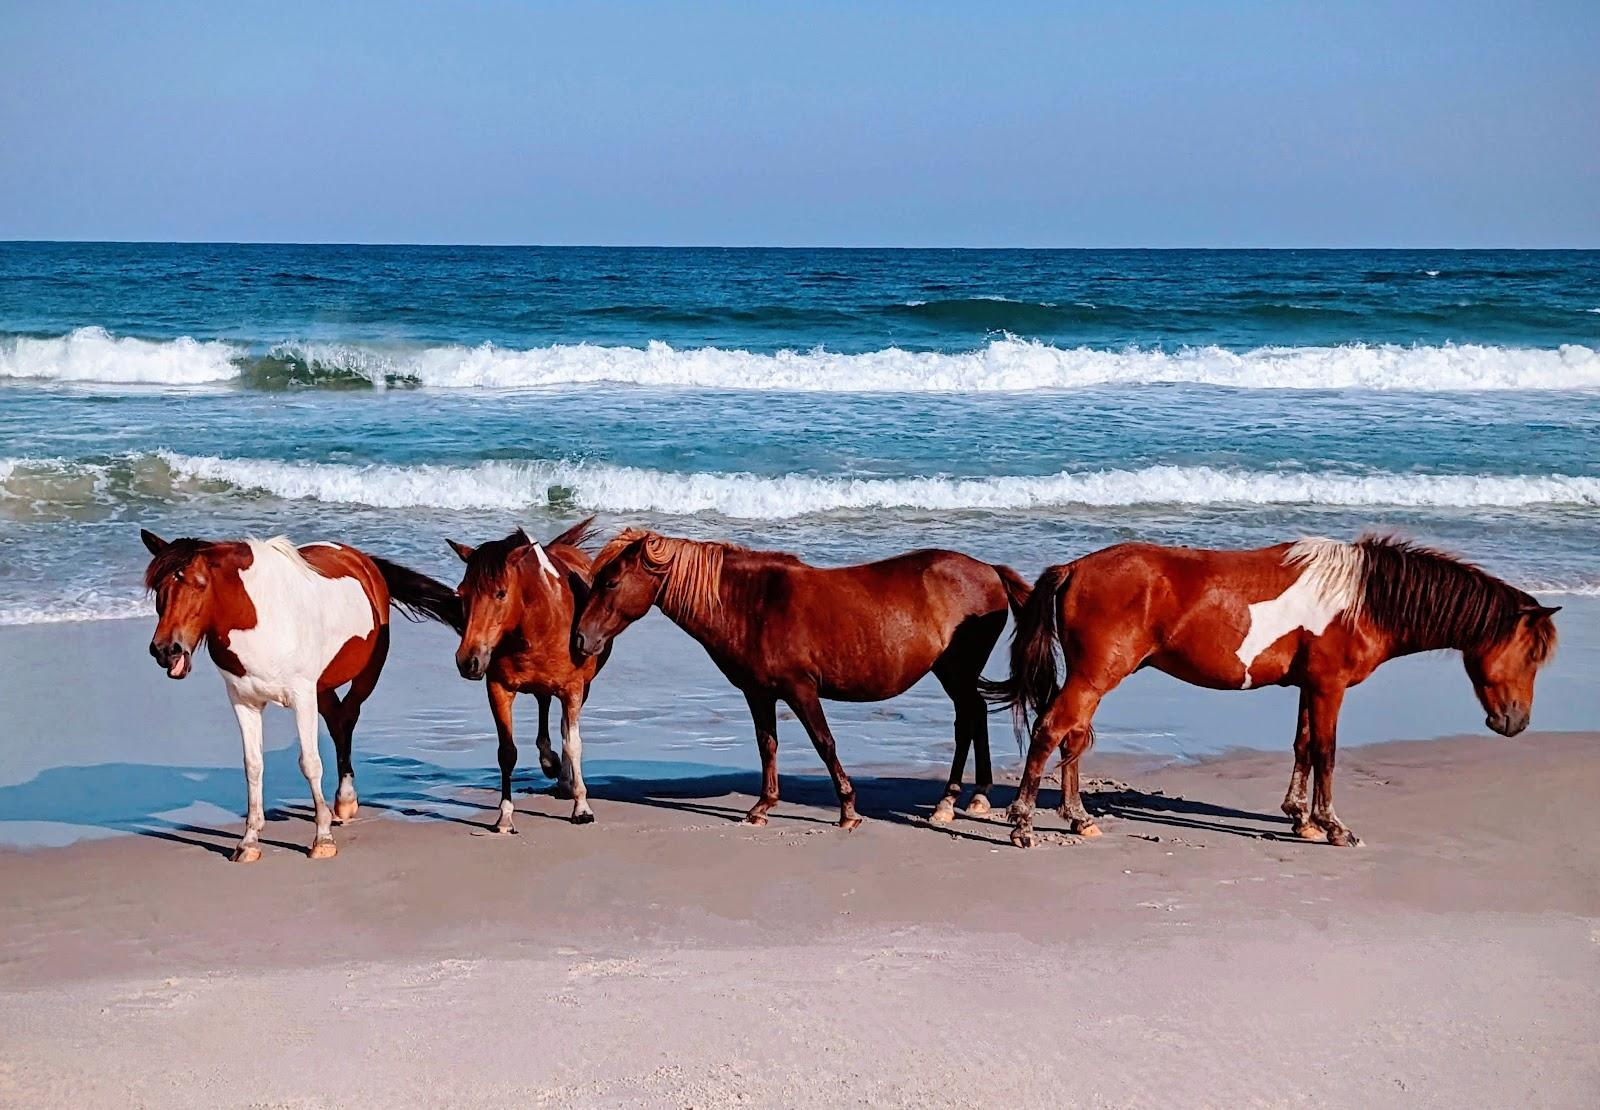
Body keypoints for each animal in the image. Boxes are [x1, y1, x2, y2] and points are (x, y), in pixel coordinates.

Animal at [136, 534, 464, 863]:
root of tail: (360, 559)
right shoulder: (244, 701)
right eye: (159, 589)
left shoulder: (302, 696)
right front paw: (249, 842)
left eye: (199, 584)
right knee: (338, 722)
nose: (166, 650)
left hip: (366, 674)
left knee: (348, 718)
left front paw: (323, 839)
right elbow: (253, 765)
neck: (259, 619)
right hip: (323, 688)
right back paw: (342, 802)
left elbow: (310, 763)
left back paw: (345, 800)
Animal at [451, 518, 611, 831]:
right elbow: (507, 752)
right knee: (543, 706)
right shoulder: (498, 688)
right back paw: (550, 763)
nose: (468, 661)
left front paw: (582, 807)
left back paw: (563, 779)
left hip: (580, 689)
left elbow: (573, 743)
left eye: (500, 592)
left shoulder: (573, 689)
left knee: (562, 727)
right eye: (461, 593)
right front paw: (504, 817)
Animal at [569, 534, 1030, 831]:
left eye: (611, 581)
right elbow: (767, 745)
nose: (580, 639)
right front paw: (762, 806)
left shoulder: (800, 689)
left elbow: (824, 743)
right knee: (975, 714)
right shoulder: (759, 694)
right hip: (954, 674)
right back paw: (974, 796)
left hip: (956, 672)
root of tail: (989, 571)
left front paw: (848, 809)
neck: (752, 604)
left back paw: (949, 801)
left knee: (967, 720)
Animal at [985, 540, 1561, 850]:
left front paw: (1301, 819)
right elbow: (1327, 752)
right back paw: (1022, 825)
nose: (1515, 721)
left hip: (1095, 680)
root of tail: (1075, 568)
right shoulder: (1329, 687)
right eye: (1531, 653)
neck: (1362, 600)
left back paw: (1078, 818)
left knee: (1073, 738)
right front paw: (1333, 826)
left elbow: (1303, 747)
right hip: (1093, 677)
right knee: (1051, 731)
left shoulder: (1310, 687)